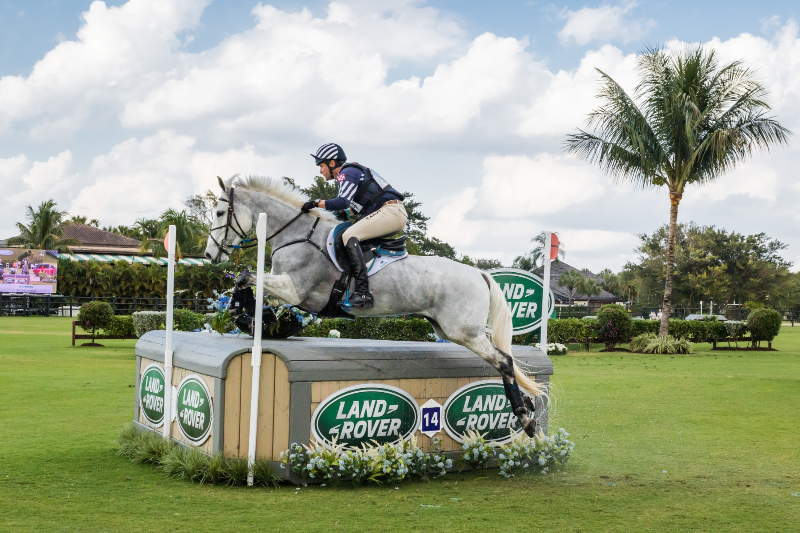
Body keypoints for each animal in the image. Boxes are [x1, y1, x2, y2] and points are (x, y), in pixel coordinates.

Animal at [204, 175, 546, 436]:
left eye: (220, 213)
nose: (209, 255)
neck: (296, 235)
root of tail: (479, 273)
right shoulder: (285, 288)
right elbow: (247, 285)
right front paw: (250, 317)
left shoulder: (294, 289)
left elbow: (247, 277)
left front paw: (247, 317)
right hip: (451, 330)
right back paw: (527, 410)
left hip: (464, 332)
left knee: (504, 361)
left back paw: (525, 417)